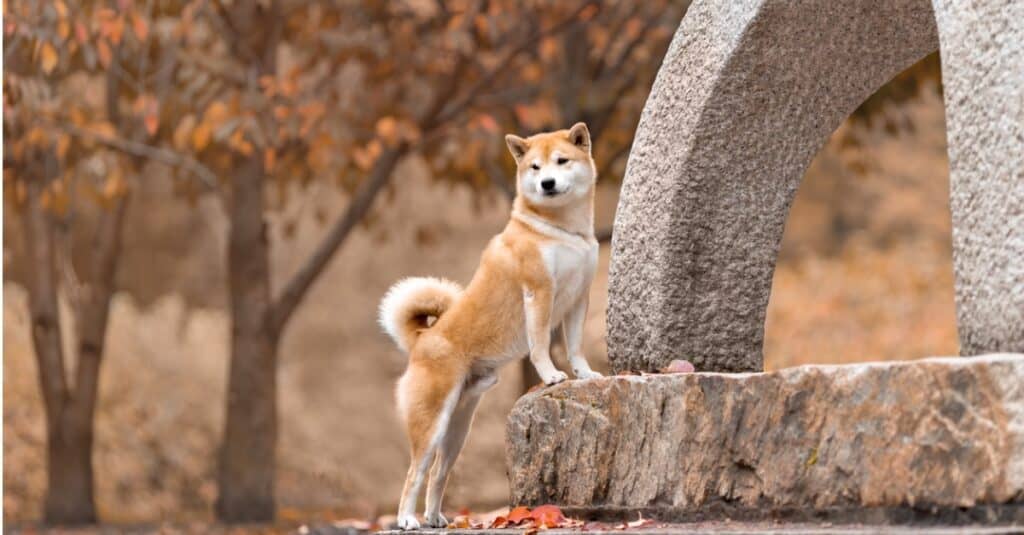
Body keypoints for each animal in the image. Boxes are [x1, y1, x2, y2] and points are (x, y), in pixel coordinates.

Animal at [378, 122, 598, 524]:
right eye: (534, 167)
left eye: (561, 161)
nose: (547, 183)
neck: (557, 230)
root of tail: (422, 338)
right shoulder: (538, 293)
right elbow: (541, 345)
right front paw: (552, 375)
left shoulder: (578, 298)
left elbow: (575, 347)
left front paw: (585, 373)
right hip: (431, 425)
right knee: (414, 473)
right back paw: (406, 520)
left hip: (457, 430)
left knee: (438, 473)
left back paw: (435, 518)